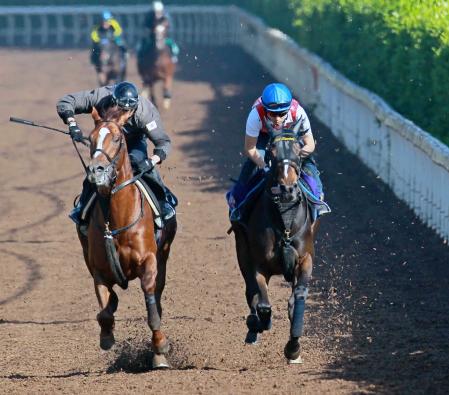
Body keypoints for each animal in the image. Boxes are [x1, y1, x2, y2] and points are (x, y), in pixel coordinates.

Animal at [77, 106, 175, 370]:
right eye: (90, 138)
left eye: (117, 138)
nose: (96, 171)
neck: (117, 220)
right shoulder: (98, 270)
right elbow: (104, 312)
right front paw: (107, 336)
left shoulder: (149, 261)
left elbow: (152, 309)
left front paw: (160, 348)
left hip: (164, 257)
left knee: (158, 298)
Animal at [231, 131, 316, 366]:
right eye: (271, 150)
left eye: (298, 148)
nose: (288, 189)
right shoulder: (259, 263)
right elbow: (263, 304)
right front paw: (259, 323)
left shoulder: (305, 258)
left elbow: (298, 299)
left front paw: (293, 348)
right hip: (241, 248)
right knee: (251, 291)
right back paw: (253, 327)